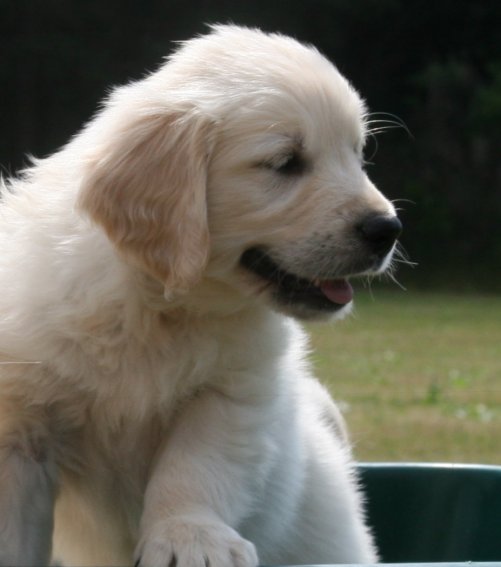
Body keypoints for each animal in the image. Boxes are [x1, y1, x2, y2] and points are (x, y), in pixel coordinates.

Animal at [0, 25, 401, 566]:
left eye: (358, 156)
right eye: (285, 163)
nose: (388, 229)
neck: (158, 306)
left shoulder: (235, 391)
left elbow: (194, 464)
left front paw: (189, 537)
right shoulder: (20, 424)